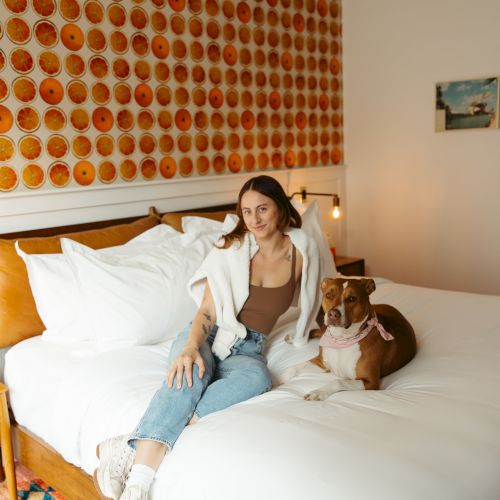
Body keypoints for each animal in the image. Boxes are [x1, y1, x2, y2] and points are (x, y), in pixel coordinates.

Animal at [280, 280, 416, 400]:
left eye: (352, 298)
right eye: (328, 295)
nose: (333, 314)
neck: (341, 340)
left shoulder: (370, 382)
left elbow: (338, 382)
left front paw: (318, 392)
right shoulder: (321, 362)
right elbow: (293, 368)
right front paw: (278, 379)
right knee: (318, 330)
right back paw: (294, 338)